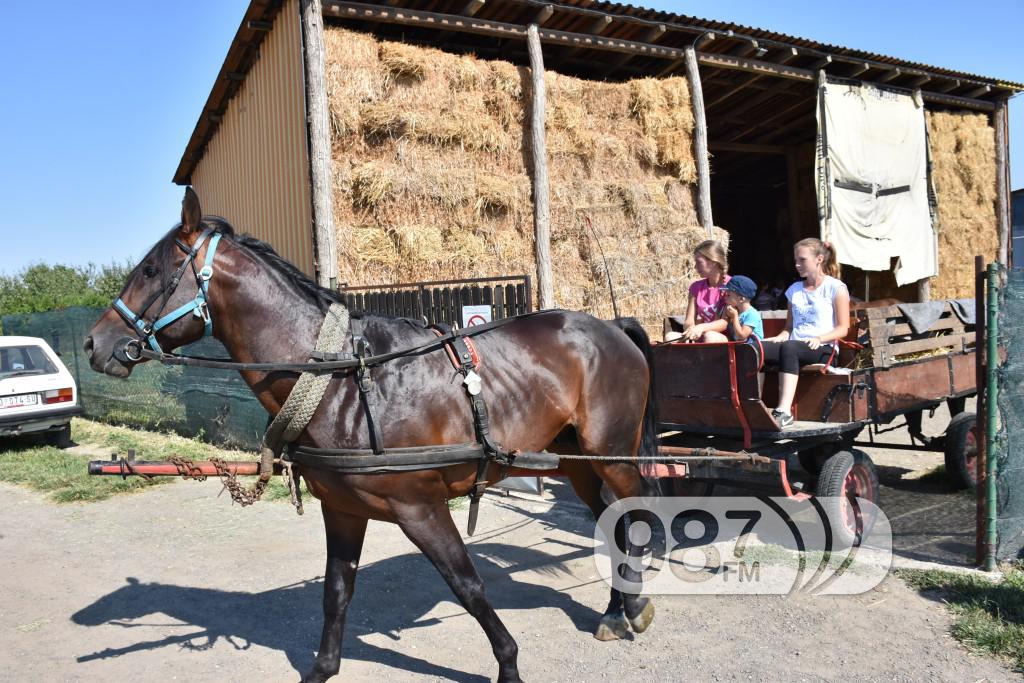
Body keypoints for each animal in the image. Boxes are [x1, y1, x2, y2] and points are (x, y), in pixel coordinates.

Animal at [79, 188, 655, 683]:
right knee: (609, 520)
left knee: (636, 512)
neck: (342, 382)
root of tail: (610, 326)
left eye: (151, 270)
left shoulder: (421, 507)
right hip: (574, 461)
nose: (93, 344)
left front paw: (509, 664)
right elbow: (336, 593)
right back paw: (616, 610)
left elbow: (468, 585)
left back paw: (632, 605)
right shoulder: (343, 510)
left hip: (611, 455)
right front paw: (321, 669)